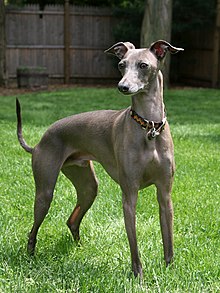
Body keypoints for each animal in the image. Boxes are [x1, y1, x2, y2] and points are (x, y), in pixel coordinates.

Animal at [16, 40, 183, 276]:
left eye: (143, 65)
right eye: (121, 65)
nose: (122, 86)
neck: (149, 127)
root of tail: (39, 142)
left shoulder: (165, 193)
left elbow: (168, 241)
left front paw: (170, 271)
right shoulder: (129, 195)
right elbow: (134, 246)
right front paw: (138, 276)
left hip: (88, 186)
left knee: (72, 220)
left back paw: (78, 248)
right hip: (45, 192)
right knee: (33, 229)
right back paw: (31, 256)